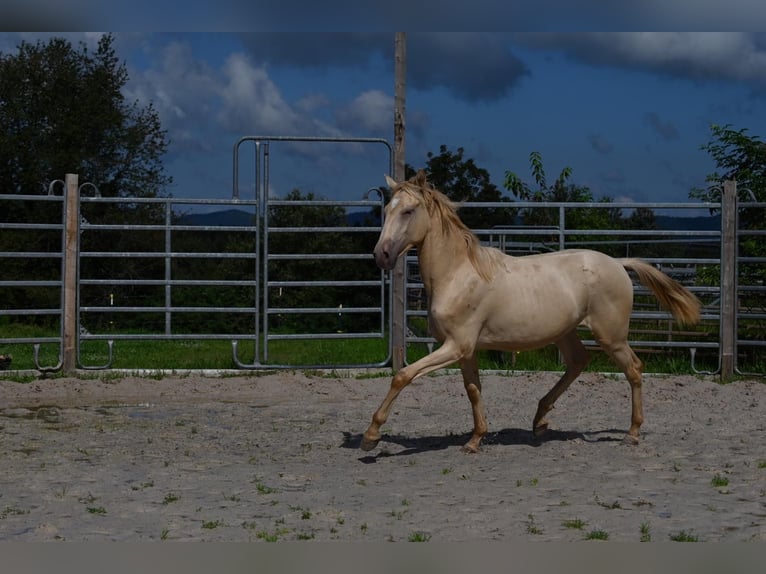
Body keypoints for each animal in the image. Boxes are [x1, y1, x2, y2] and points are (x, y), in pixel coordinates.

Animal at [360, 170, 704, 454]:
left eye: (408, 211)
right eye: (387, 210)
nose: (381, 255)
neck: (457, 275)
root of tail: (618, 263)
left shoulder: (456, 346)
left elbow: (402, 376)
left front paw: (371, 436)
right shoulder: (465, 349)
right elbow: (473, 390)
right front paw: (475, 440)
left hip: (612, 336)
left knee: (633, 369)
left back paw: (631, 434)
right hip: (565, 332)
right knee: (578, 363)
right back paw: (539, 420)